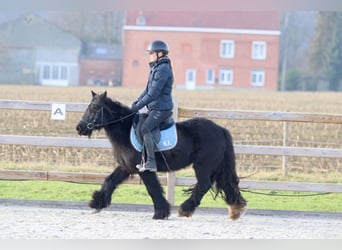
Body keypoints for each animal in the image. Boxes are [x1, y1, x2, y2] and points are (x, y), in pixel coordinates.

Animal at [75, 91, 246, 220]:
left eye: (95, 108)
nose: (79, 128)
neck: (125, 130)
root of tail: (220, 129)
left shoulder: (144, 169)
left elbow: (153, 189)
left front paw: (161, 213)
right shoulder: (126, 167)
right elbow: (110, 181)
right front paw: (96, 204)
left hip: (203, 165)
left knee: (204, 184)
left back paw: (185, 209)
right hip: (217, 166)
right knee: (227, 184)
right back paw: (236, 210)